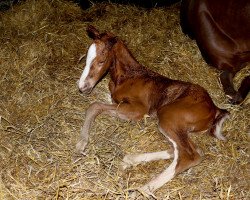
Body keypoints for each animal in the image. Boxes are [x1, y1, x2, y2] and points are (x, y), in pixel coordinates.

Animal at [75, 25, 229, 198]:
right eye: (86, 58)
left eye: (101, 61)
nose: (82, 87)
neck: (127, 76)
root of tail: (214, 108)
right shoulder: (116, 101)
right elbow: (100, 103)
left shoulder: (137, 110)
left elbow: (94, 106)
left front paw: (81, 143)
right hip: (178, 125)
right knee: (186, 150)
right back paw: (131, 160)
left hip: (168, 115)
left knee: (189, 155)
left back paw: (142, 189)